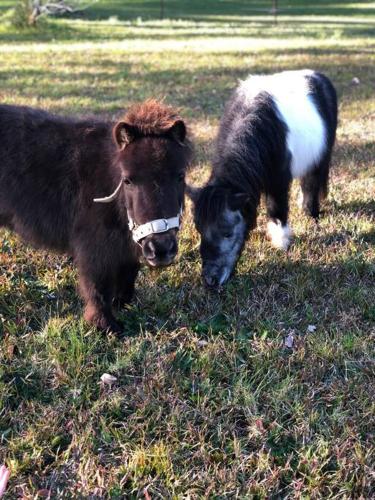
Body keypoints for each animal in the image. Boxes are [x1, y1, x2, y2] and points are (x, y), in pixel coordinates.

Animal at [0, 98, 192, 332]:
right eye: (128, 180)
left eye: (180, 176)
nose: (162, 250)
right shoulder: (94, 248)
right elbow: (97, 287)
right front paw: (105, 326)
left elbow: (128, 272)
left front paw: (121, 304)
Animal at [189, 71, 340, 290]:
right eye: (199, 230)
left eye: (227, 233)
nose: (210, 282)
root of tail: (319, 75)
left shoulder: (278, 181)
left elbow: (277, 209)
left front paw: (281, 242)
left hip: (322, 154)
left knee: (312, 181)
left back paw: (311, 213)